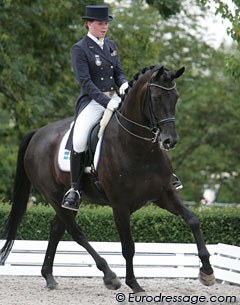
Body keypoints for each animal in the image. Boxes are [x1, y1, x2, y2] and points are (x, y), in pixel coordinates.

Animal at [0, 65, 215, 290]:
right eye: (156, 98)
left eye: (176, 97)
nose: (170, 141)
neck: (139, 149)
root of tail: (37, 133)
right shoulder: (120, 206)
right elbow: (128, 246)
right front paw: (134, 284)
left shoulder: (164, 194)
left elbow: (193, 219)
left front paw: (207, 272)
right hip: (54, 196)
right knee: (76, 232)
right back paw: (109, 275)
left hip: (68, 200)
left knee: (57, 229)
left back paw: (49, 276)